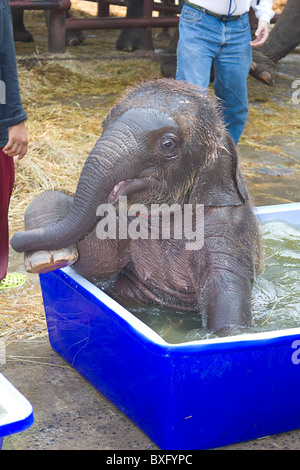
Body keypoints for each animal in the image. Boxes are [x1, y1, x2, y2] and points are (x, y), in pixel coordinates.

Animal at [10, 79, 262, 332]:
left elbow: (227, 305)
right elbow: (94, 266)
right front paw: (48, 259)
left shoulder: (228, 228)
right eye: (103, 123)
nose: (12, 239)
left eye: (168, 144)